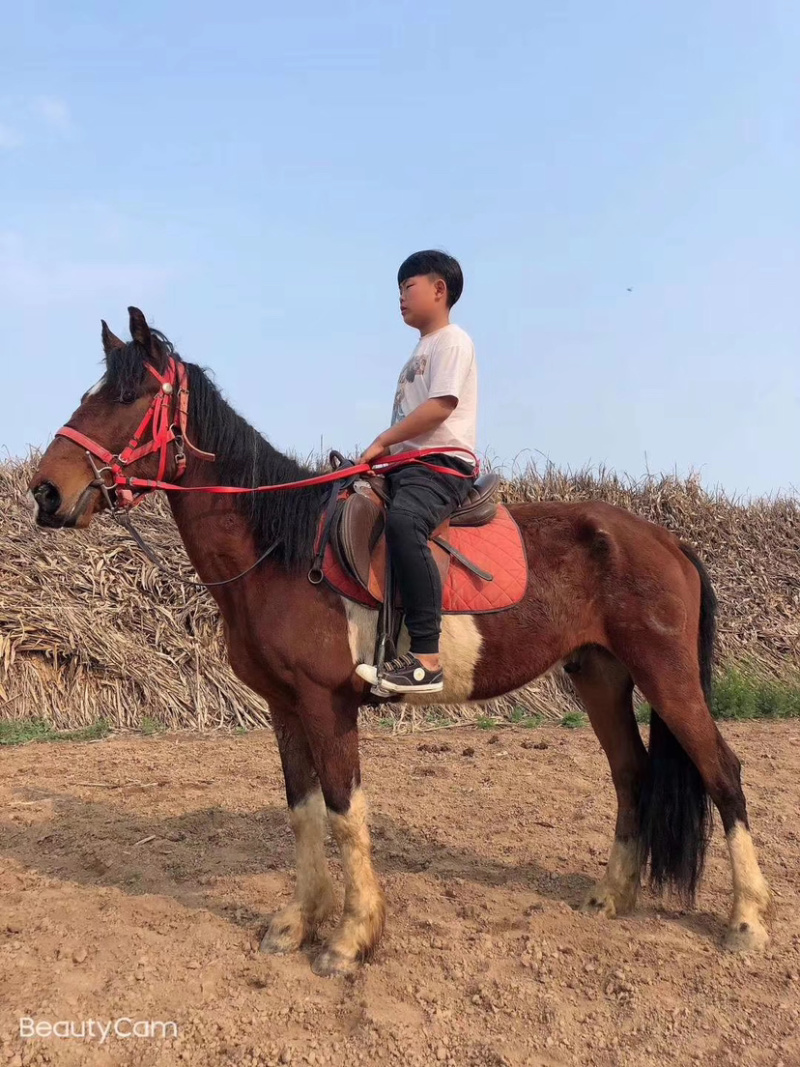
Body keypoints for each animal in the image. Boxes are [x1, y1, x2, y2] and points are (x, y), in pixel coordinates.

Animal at [28, 307, 770, 976]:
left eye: (128, 397)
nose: (45, 492)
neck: (282, 547)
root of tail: (665, 537)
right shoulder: (283, 705)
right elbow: (303, 813)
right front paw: (298, 922)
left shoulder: (326, 703)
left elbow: (344, 813)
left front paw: (350, 938)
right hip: (601, 676)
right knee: (631, 774)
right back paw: (610, 897)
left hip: (665, 675)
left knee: (723, 771)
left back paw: (746, 921)